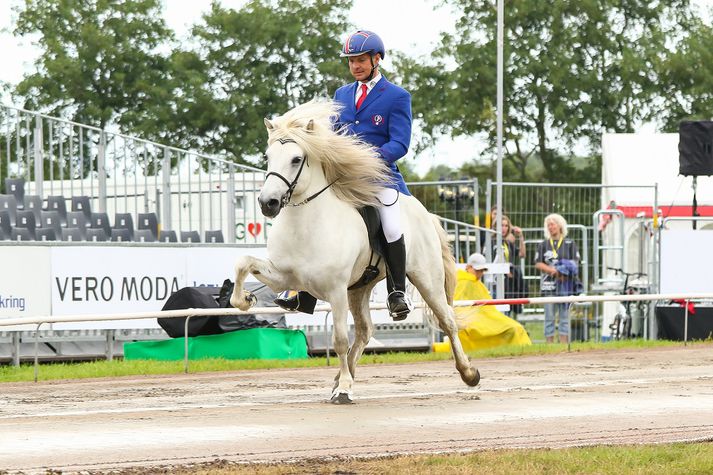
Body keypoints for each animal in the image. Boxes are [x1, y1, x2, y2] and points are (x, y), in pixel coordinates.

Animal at [231, 98, 482, 404]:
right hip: (360, 288)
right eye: (268, 156)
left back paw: (468, 373)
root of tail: (425, 213)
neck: (305, 224)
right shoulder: (283, 277)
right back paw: (342, 377)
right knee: (364, 332)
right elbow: (243, 262)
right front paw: (244, 300)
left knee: (447, 321)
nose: (268, 203)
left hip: (426, 279)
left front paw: (344, 389)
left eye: (296, 159)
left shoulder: (336, 290)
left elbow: (339, 339)